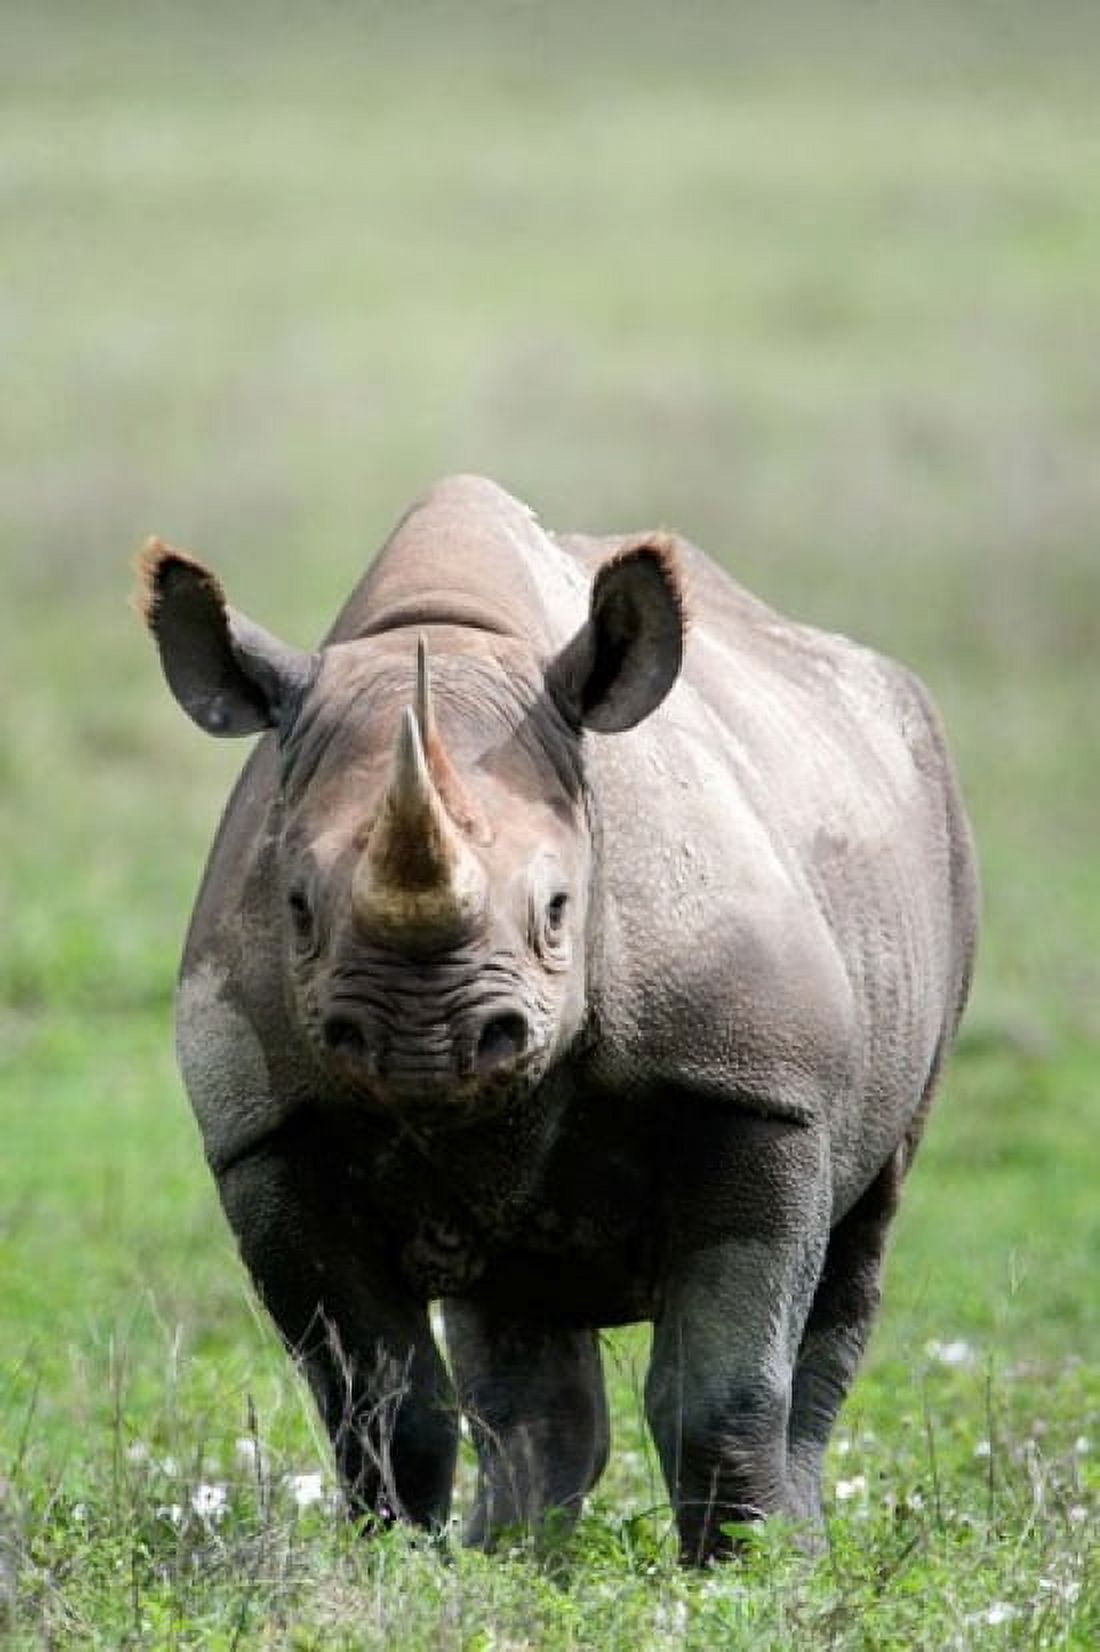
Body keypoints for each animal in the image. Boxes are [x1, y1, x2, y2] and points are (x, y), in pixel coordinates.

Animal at [138, 474, 977, 1561]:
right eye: (297, 910)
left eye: (556, 910)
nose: (425, 1044)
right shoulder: (267, 1130)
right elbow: (379, 1401)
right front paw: (400, 1568)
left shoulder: (758, 1090)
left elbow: (722, 1384)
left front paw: (747, 1576)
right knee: (517, 1319)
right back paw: (514, 1555)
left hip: (933, 838)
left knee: (863, 1223)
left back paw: (789, 1546)